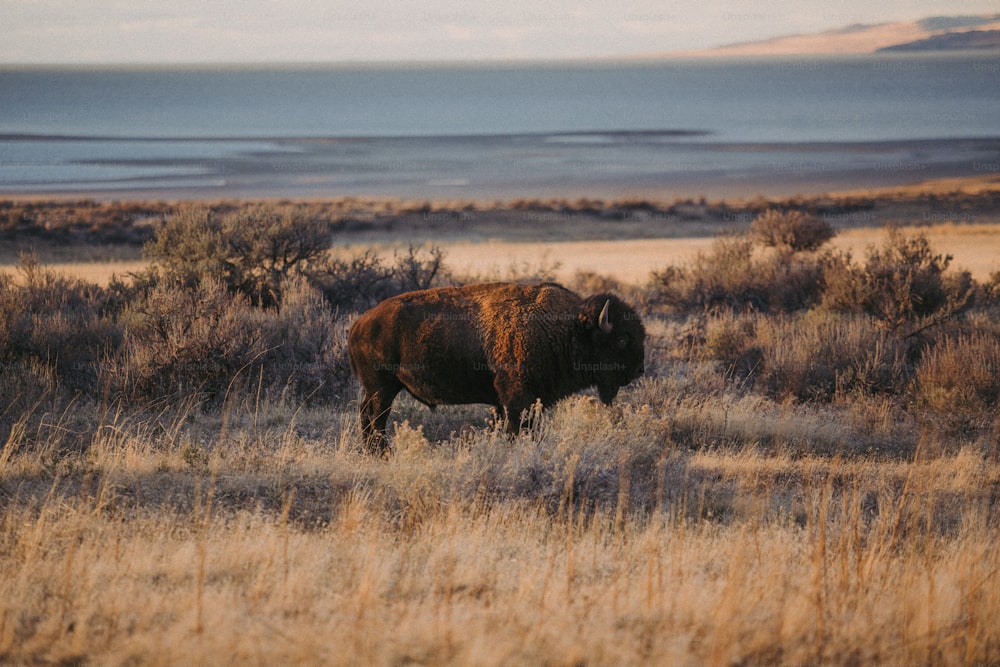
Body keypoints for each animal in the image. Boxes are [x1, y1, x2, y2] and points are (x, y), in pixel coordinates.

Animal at [348, 282, 644, 454]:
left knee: (367, 415)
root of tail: (359, 323)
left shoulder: (510, 401)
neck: (568, 327)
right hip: (382, 388)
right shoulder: (518, 399)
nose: (639, 370)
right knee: (375, 418)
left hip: (379, 389)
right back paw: (382, 454)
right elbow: (518, 429)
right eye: (621, 339)